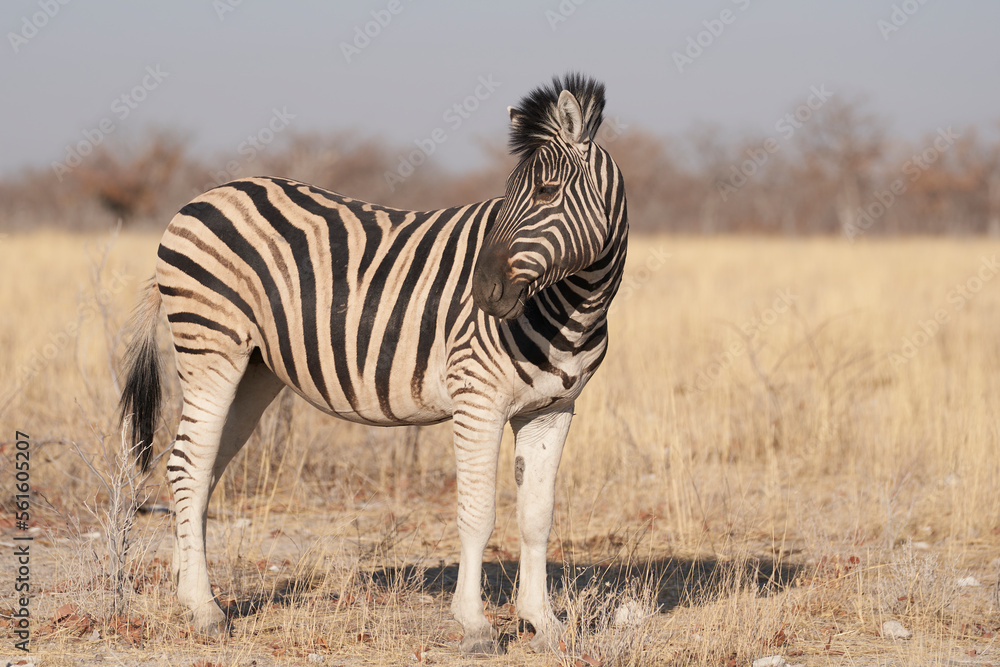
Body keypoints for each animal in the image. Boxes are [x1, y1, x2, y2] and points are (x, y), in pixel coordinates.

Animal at [118, 73, 628, 655]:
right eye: (509, 195)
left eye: (545, 192)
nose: (479, 293)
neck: (574, 307)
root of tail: (201, 198)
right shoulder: (478, 399)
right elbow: (477, 514)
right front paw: (475, 625)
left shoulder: (553, 409)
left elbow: (537, 517)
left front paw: (545, 622)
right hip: (211, 346)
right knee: (186, 464)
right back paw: (205, 611)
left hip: (253, 370)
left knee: (201, 471)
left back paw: (188, 593)